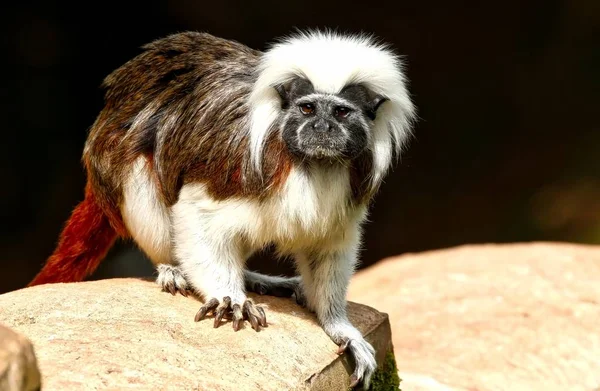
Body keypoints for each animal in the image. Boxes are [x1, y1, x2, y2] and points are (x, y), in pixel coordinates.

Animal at [27, 29, 412, 388]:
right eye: (307, 109)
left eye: (341, 112)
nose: (321, 127)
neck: (311, 164)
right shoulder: (233, 168)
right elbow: (197, 212)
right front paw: (228, 296)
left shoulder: (349, 190)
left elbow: (327, 248)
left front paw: (340, 327)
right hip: (113, 162)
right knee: (140, 167)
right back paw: (172, 267)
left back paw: (256, 278)